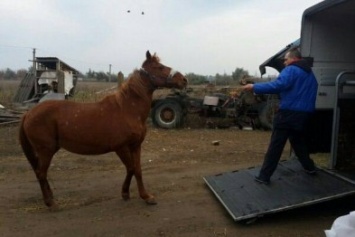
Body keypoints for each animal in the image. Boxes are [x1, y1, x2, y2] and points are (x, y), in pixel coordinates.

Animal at [18, 50, 189, 207]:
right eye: (159, 67)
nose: (183, 79)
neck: (127, 109)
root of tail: (28, 113)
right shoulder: (121, 147)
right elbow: (131, 168)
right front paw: (134, 195)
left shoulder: (135, 146)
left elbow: (137, 170)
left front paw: (140, 195)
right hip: (46, 150)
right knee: (41, 173)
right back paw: (49, 202)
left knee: (40, 173)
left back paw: (50, 197)